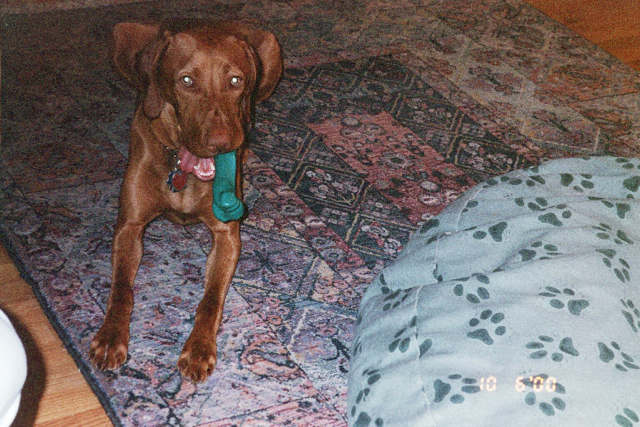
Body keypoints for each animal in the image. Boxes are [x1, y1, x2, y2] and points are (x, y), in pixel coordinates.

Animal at [89, 19, 283, 382]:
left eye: (235, 80)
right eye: (187, 81)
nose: (222, 143)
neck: (184, 164)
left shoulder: (227, 235)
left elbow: (210, 300)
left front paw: (198, 349)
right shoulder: (129, 226)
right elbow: (121, 290)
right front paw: (110, 337)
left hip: (272, 51)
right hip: (121, 36)